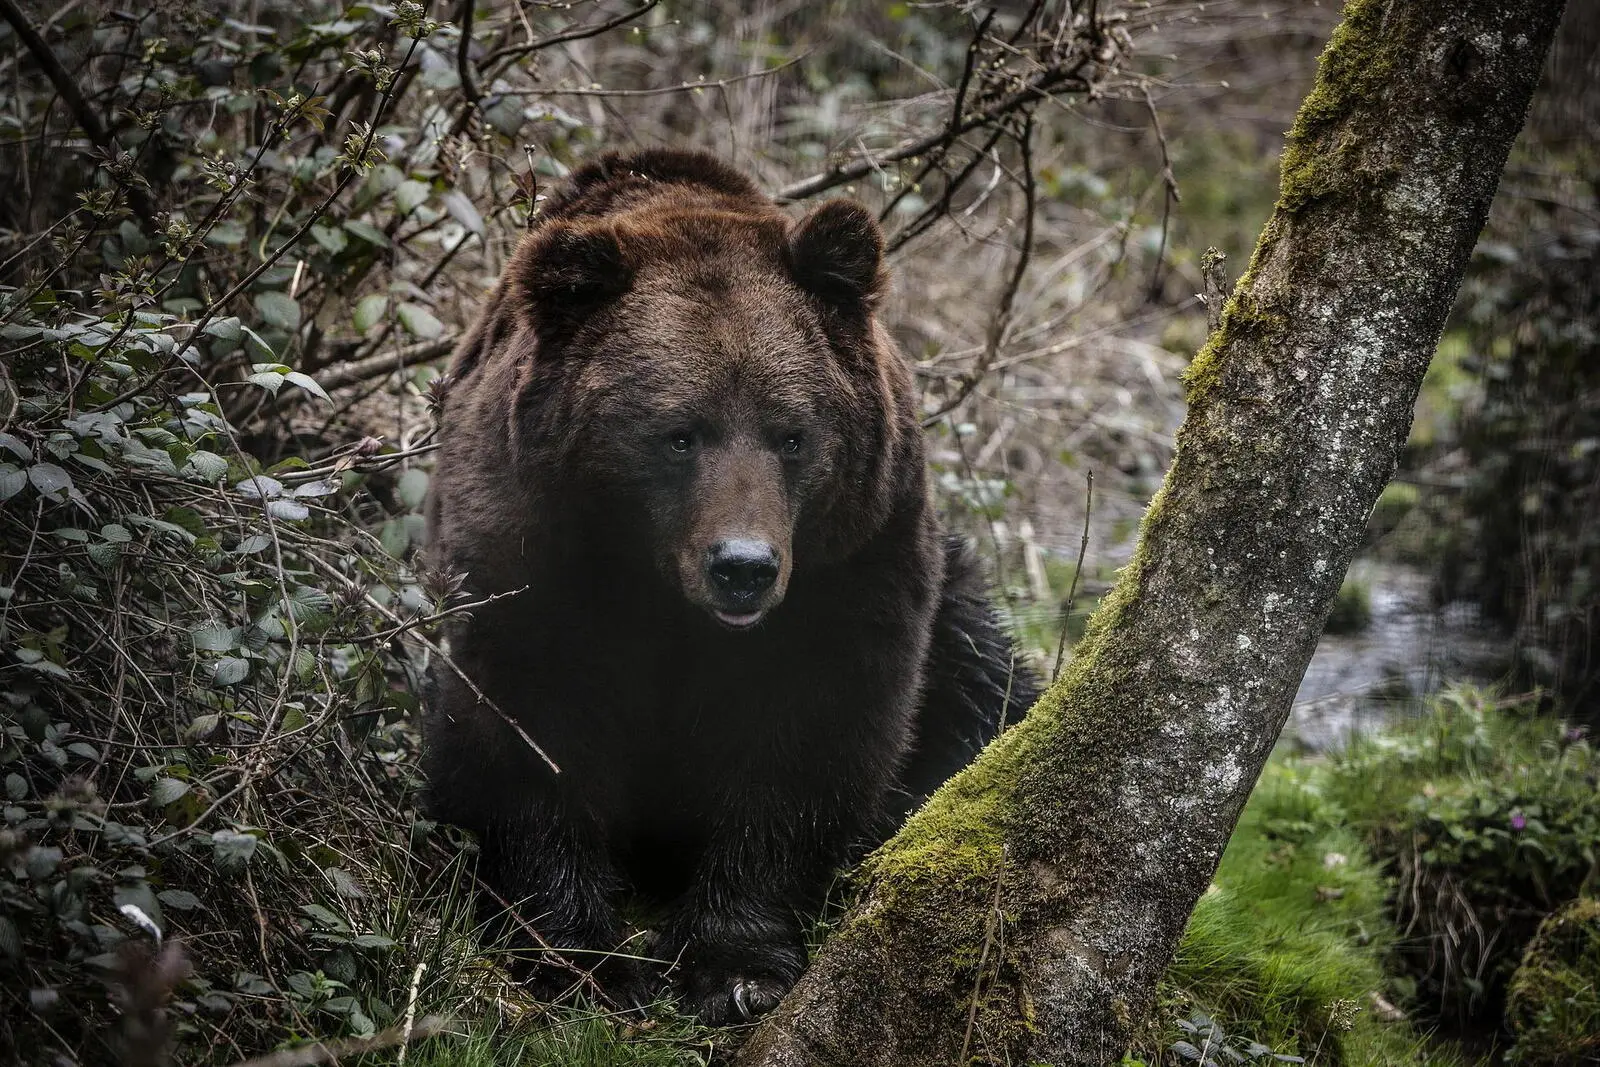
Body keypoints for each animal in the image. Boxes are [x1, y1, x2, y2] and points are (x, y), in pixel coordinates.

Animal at [422, 148, 1038, 1025]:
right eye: (679, 434)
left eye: (792, 434)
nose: (742, 565)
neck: (657, 582)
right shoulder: (531, 549)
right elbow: (529, 730)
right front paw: (580, 959)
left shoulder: (851, 562)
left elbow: (807, 738)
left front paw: (735, 967)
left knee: (986, 689)